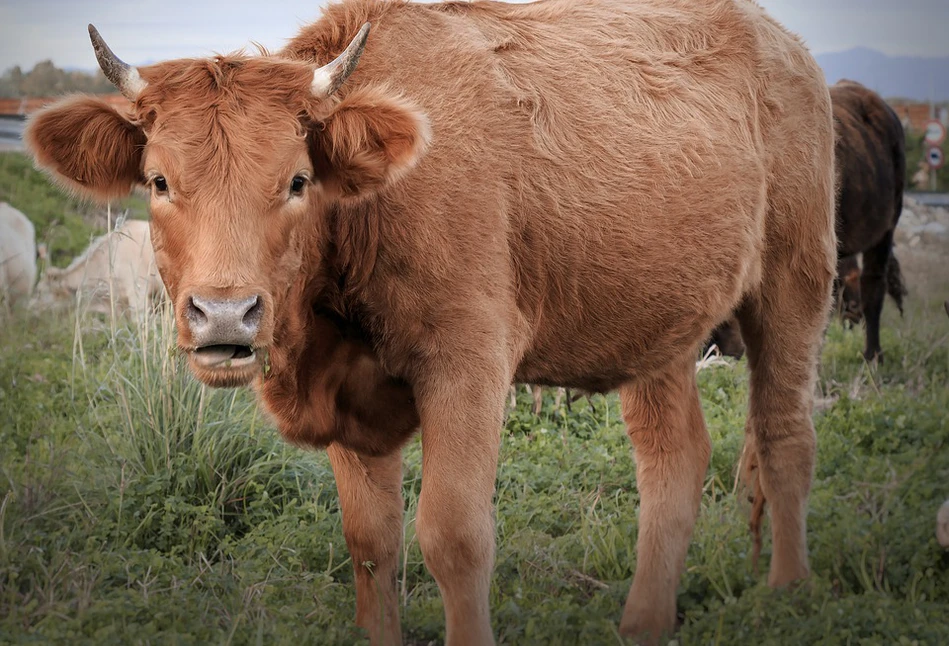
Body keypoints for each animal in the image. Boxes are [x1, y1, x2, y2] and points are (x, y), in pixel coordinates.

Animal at [24, 2, 836, 644]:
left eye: (297, 179)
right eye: (159, 181)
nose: (225, 312)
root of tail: (785, 45)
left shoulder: (467, 366)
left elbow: (453, 535)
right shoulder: (349, 404)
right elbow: (371, 543)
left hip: (794, 285)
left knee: (784, 434)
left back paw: (789, 593)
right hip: (656, 327)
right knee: (675, 457)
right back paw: (643, 622)